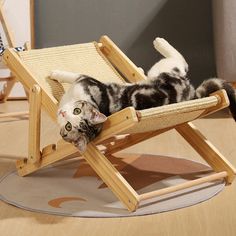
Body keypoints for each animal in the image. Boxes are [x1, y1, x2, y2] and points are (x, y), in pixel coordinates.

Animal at [49, 37, 236, 151]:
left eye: (77, 112)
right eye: (69, 126)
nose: (63, 113)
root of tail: (192, 94)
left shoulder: (85, 79)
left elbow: (69, 75)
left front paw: (54, 73)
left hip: (162, 71)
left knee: (180, 60)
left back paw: (159, 42)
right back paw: (138, 71)